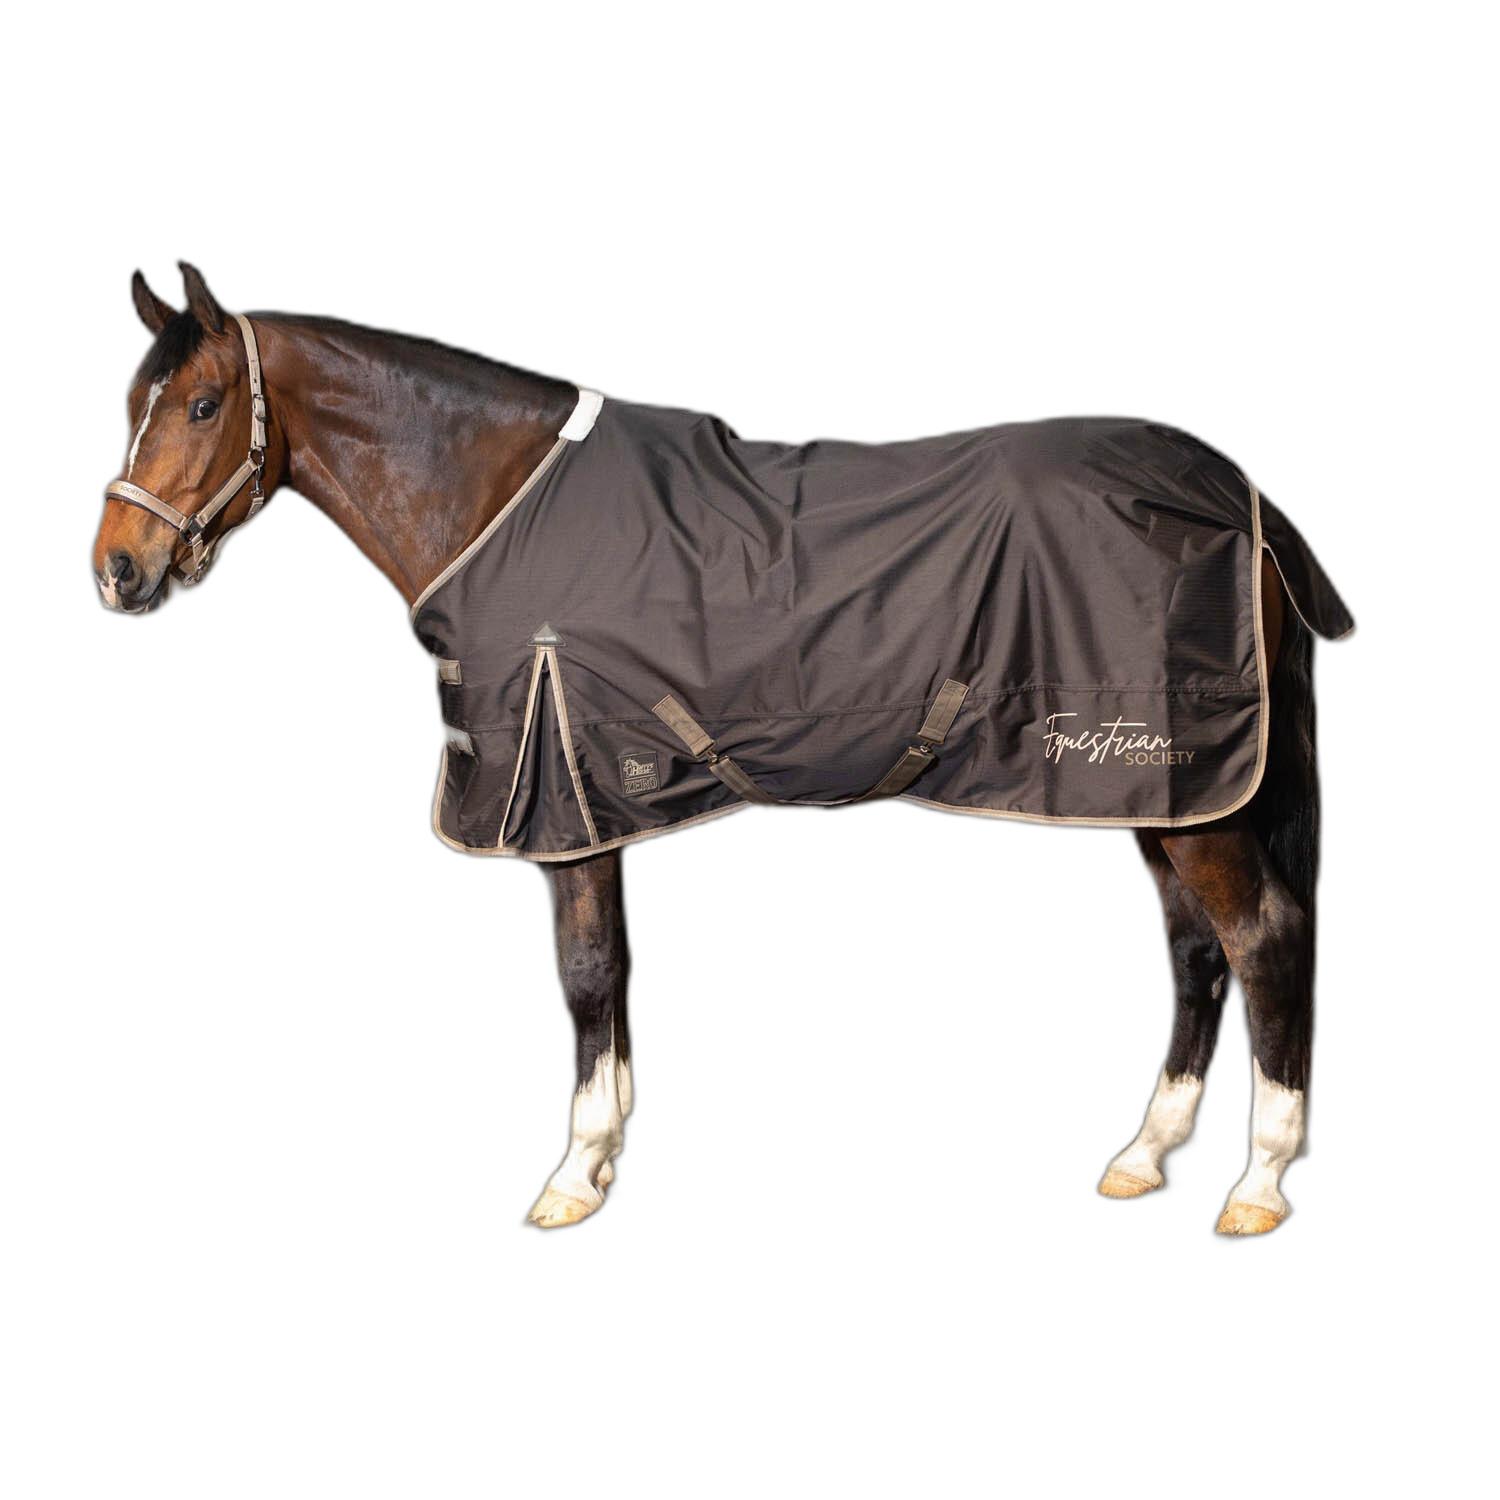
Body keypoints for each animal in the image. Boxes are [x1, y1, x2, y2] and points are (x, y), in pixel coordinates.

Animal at [93, 264, 1351, 1234]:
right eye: (133, 401)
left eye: (202, 404)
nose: (116, 570)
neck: (501, 501)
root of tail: (1240, 497)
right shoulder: (594, 800)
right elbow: (614, 977)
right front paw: (604, 1154)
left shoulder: (566, 798)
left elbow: (586, 976)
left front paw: (571, 1175)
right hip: (1162, 792)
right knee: (1195, 955)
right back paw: (1144, 1154)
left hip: (1193, 793)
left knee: (1264, 940)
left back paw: (1257, 1183)